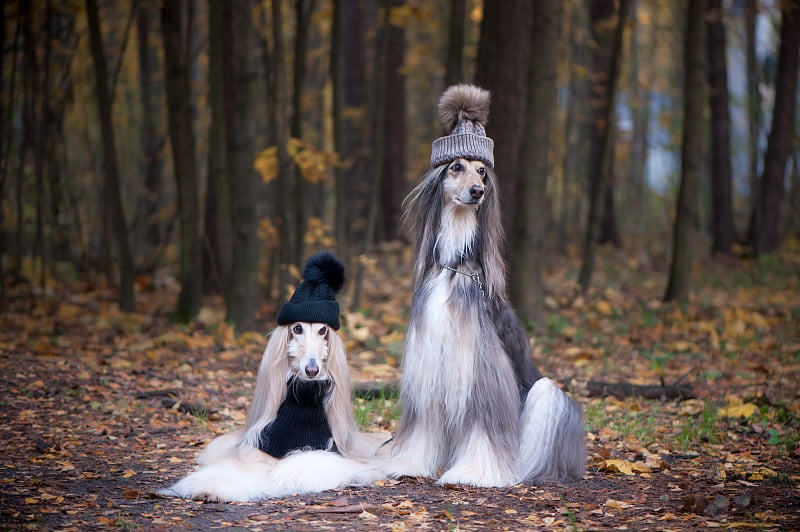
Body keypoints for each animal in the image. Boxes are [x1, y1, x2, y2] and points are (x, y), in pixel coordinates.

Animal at [159, 251, 384, 500]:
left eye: (323, 330)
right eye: (297, 328)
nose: (312, 370)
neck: (304, 403)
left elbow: (312, 461)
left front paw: (288, 474)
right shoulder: (257, 451)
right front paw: (206, 487)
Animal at [384, 86, 584, 486]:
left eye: (483, 171)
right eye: (455, 167)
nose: (477, 191)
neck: (454, 266)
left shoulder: (481, 367)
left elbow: (483, 425)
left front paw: (473, 473)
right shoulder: (428, 365)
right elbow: (422, 426)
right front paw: (410, 464)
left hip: (545, 395)